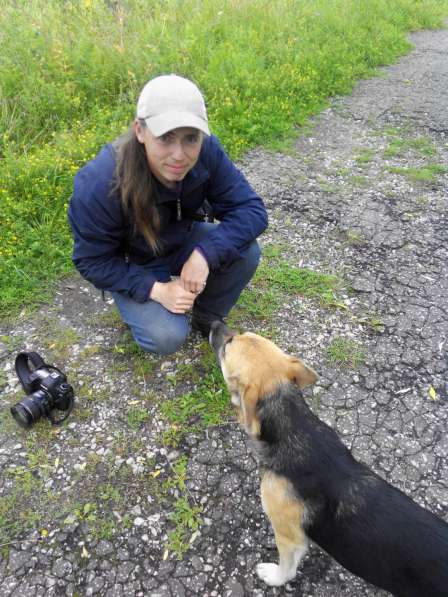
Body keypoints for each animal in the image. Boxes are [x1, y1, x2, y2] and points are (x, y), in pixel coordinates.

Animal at [210, 322, 448, 596]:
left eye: (229, 344)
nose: (215, 323)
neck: (295, 429)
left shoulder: (289, 536)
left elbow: (286, 568)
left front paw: (273, 576)